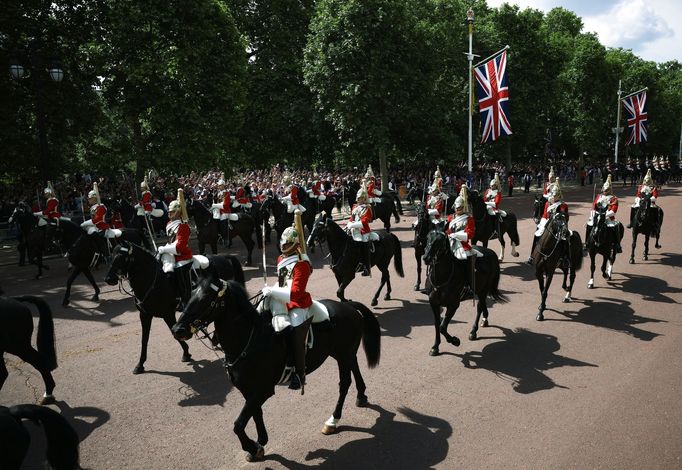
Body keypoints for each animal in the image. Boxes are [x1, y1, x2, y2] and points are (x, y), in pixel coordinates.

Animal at [103, 244, 244, 372]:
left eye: (121, 258)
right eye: (111, 257)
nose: (108, 279)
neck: (152, 279)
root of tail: (223, 257)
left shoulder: (167, 314)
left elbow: (174, 334)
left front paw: (186, 353)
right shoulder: (145, 315)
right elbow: (144, 339)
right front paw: (140, 364)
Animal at [170, 278, 380, 460]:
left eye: (207, 298)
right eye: (190, 295)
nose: (177, 329)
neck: (249, 339)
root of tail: (348, 306)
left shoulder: (262, 390)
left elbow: (238, 424)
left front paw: (251, 446)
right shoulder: (248, 390)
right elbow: (255, 414)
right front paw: (260, 443)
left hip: (343, 355)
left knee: (344, 383)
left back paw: (333, 420)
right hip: (344, 354)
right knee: (355, 369)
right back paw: (361, 396)